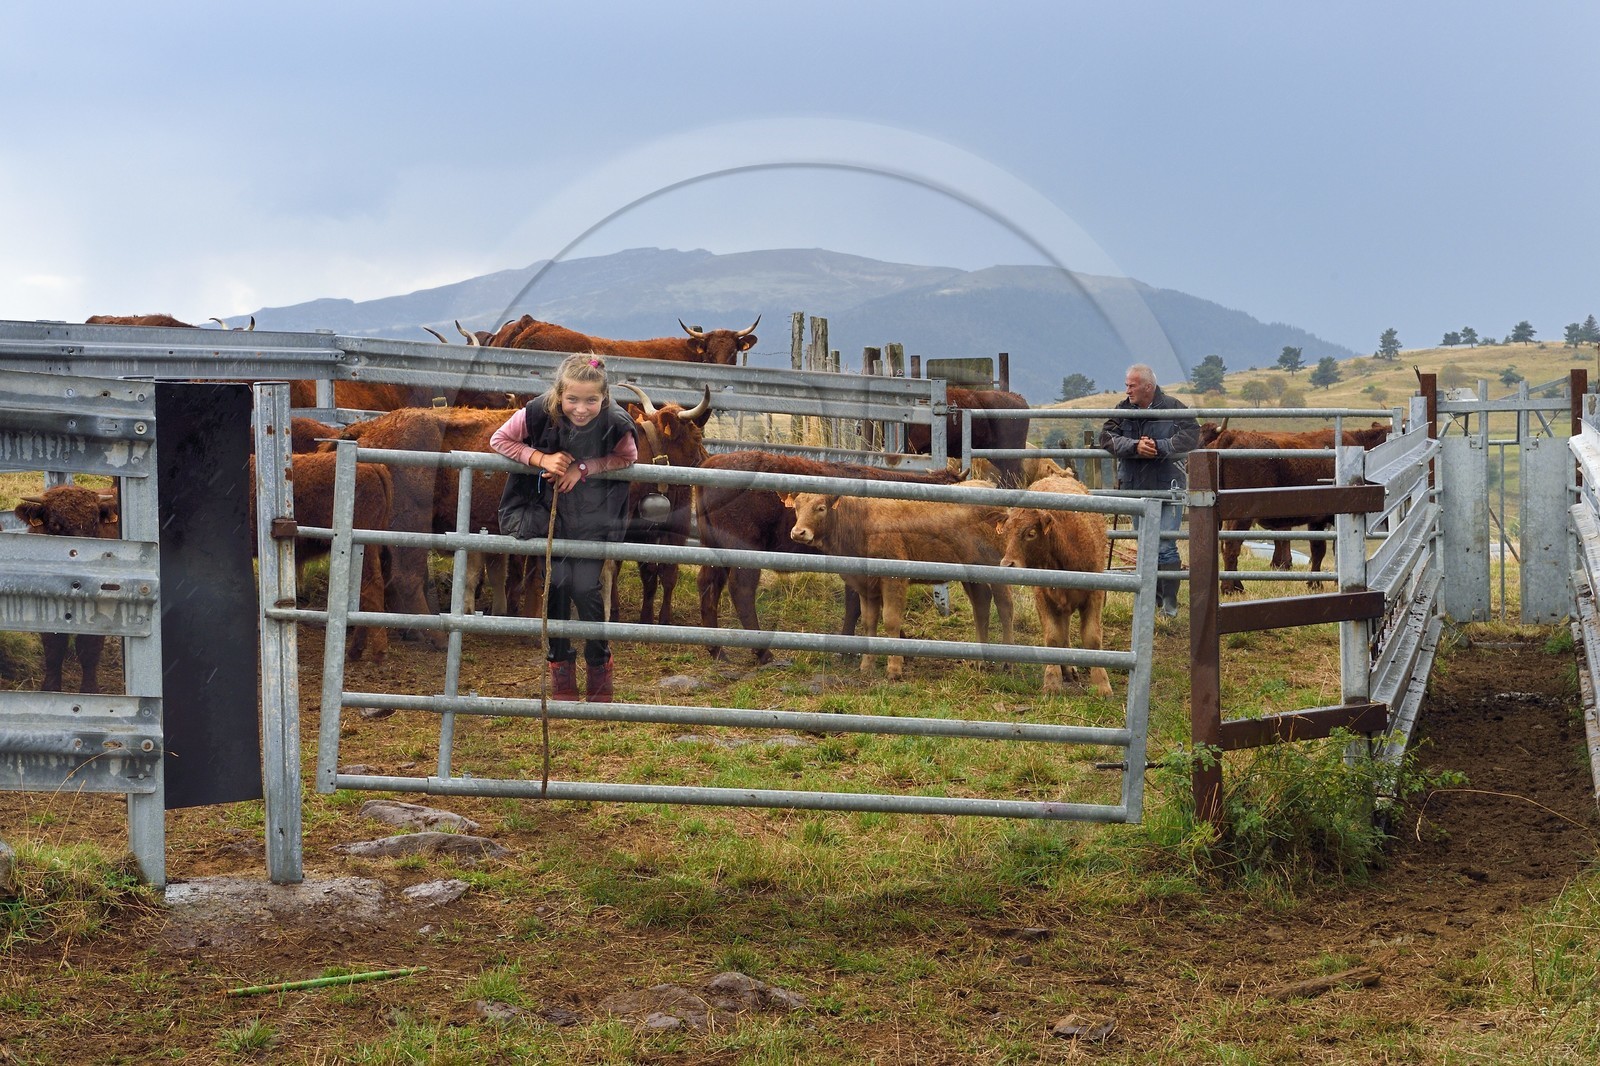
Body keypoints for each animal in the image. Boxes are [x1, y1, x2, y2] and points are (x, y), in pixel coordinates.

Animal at [13, 485, 120, 693]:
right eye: (55, 524)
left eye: (94, 521)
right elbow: (54, 648)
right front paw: (50, 689)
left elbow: (88, 649)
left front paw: (89, 691)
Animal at [695, 451, 964, 663]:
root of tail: (711, 464)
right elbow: (858, 606)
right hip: (745, 552)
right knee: (741, 591)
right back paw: (764, 654)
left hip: (715, 550)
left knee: (709, 586)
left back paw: (717, 651)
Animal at [784, 482, 1015, 680]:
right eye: (796, 507)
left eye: (821, 508)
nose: (798, 532)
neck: (861, 522)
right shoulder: (866, 585)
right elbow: (869, 623)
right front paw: (867, 666)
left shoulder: (893, 580)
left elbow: (891, 620)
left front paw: (894, 669)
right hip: (972, 573)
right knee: (981, 605)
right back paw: (980, 660)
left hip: (996, 567)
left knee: (1005, 607)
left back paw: (1007, 662)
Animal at [997, 474, 1113, 696]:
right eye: (1006, 533)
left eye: (1031, 533)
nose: (1007, 564)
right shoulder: (1042, 596)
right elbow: (1053, 637)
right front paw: (1052, 681)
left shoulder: (1095, 594)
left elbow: (1092, 638)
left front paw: (1102, 685)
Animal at [1198, 421, 1393, 593]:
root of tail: (1230, 436)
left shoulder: (1317, 520)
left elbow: (1318, 550)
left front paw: (1314, 584)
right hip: (1241, 517)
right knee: (1231, 545)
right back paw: (1230, 588)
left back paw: (1236, 585)